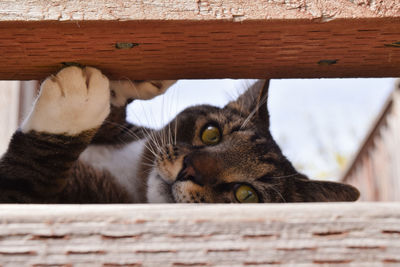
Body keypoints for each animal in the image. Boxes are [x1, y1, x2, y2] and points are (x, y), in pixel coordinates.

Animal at [0, 66, 358, 203]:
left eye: (246, 194)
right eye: (212, 133)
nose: (190, 169)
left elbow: (31, 170)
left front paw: (75, 102)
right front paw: (136, 83)